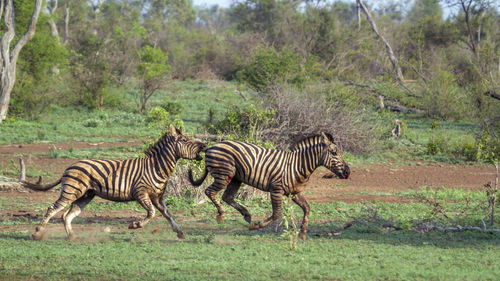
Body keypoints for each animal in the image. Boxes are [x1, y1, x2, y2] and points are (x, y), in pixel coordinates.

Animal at [23, 125, 207, 241]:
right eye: (185, 140)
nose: (205, 145)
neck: (156, 167)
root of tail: (68, 167)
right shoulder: (141, 193)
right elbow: (152, 213)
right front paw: (135, 225)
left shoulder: (158, 197)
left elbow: (168, 215)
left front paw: (180, 233)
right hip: (72, 191)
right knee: (52, 209)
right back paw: (37, 233)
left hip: (85, 195)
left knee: (66, 215)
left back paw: (73, 237)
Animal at [188, 132, 352, 238]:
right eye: (334, 153)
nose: (348, 172)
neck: (297, 165)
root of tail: (212, 146)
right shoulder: (276, 190)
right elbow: (277, 214)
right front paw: (256, 226)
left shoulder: (294, 193)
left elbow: (307, 208)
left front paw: (303, 234)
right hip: (224, 174)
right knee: (210, 192)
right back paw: (222, 215)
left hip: (236, 178)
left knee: (227, 197)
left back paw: (246, 214)